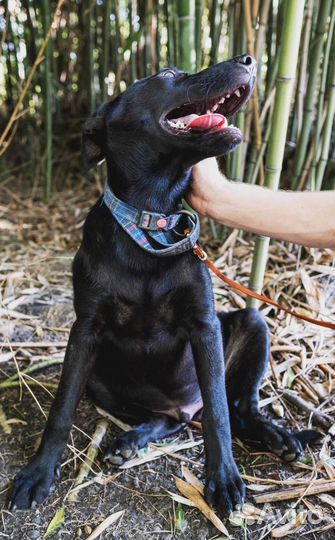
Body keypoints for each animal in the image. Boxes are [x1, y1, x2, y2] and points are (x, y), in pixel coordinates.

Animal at [10, 56, 320, 516]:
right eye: (168, 77)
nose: (248, 60)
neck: (150, 219)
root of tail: (185, 407)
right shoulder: (85, 331)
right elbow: (61, 409)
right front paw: (39, 472)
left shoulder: (204, 326)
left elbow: (219, 416)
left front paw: (223, 478)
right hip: (102, 380)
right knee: (168, 419)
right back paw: (131, 440)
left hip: (252, 325)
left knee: (239, 406)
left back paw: (278, 436)